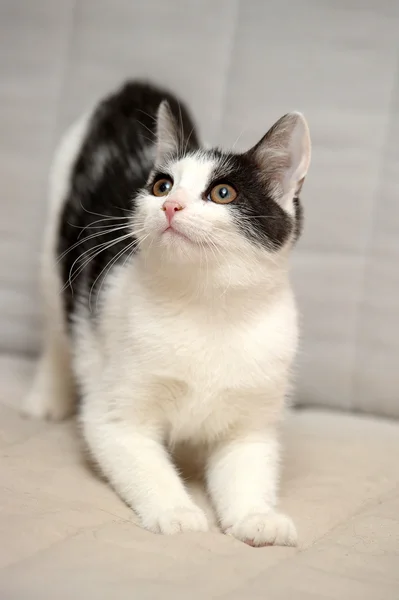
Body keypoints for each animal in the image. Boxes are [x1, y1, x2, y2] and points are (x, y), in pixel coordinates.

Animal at [25, 81, 312, 548]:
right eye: (161, 185)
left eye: (223, 193)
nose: (170, 206)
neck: (207, 307)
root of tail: (135, 87)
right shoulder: (115, 416)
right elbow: (143, 461)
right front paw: (177, 511)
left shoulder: (253, 419)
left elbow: (247, 465)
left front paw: (257, 516)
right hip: (55, 244)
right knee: (57, 326)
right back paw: (47, 396)